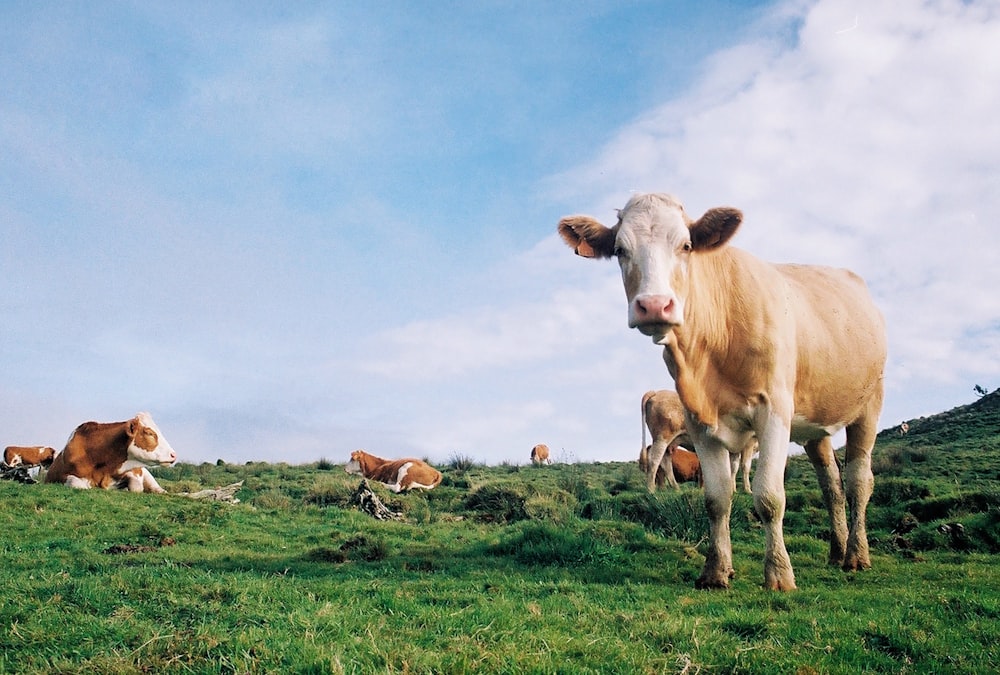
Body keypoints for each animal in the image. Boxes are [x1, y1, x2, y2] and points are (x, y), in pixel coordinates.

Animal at [45, 412, 178, 492]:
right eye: (149, 433)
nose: (174, 455)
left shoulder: (131, 473)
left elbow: (136, 486)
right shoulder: (59, 476)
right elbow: (77, 483)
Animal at [560, 193, 888, 588]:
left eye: (686, 246)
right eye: (621, 250)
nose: (654, 305)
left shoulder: (773, 413)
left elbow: (769, 497)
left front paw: (779, 574)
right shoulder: (701, 423)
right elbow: (717, 498)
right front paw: (716, 571)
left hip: (869, 407)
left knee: (858, 482)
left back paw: (856, 554)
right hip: (815, 427)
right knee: (832, 486)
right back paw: (837, 551)